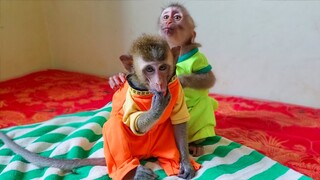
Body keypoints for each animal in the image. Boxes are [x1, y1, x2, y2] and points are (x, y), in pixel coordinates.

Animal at [0, 34, 200, 180]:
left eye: (163, 67)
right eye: (150, 69)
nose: (159, 83)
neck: (147, 90)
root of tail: (143, 155)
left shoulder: (177, 90)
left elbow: (179, 123)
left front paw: (185, 163)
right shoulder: (131, 96)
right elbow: (133, 122)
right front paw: (158, 106)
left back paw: (173, 162)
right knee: (114, 125)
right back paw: (132, 170)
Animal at [109, 2, 219, 158]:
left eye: (177, 17)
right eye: (166, 16)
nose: (168, 21)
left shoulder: (198, 58)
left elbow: (209, 79)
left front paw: (181, 80)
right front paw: (117, 78)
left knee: (203, 102)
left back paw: (196, 144)